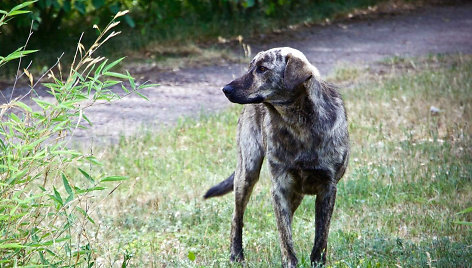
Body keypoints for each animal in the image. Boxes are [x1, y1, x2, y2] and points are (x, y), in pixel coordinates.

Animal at [204, 47, 350, 266]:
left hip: (294, 193)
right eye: (250, 67)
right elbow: (286, 239)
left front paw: (317, 262)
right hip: (247, 173)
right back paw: (236, 255)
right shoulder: (280, 188)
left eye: (262, 69)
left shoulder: (327, 189)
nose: (225, 89)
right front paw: (289, 262)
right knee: (237, 217)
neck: (299, 124)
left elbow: (320, 238)